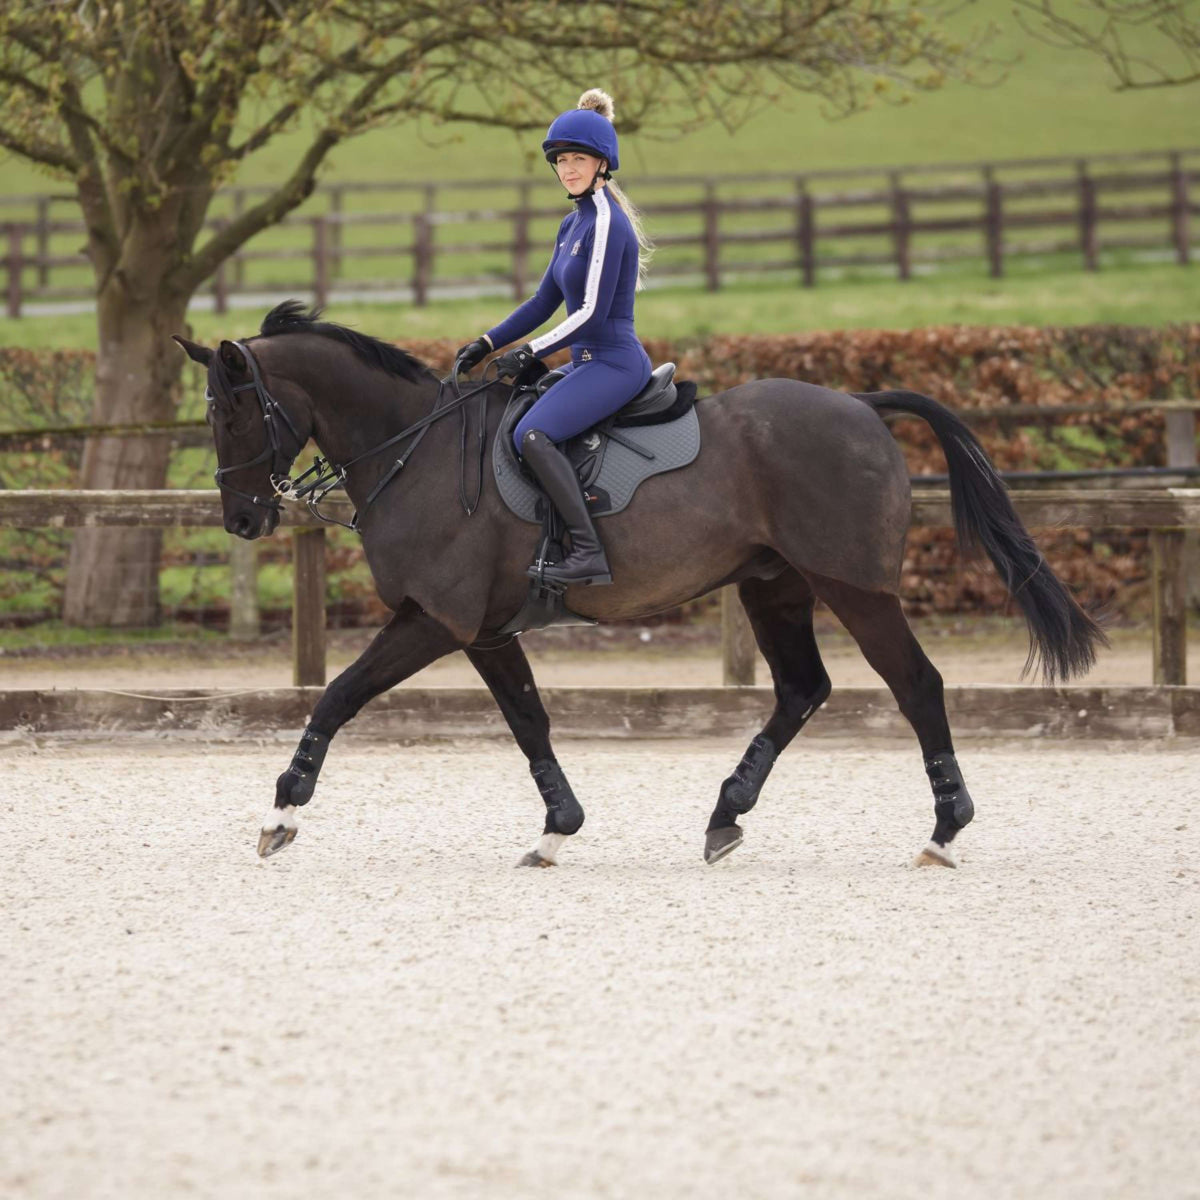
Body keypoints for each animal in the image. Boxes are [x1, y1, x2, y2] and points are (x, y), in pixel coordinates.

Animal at [174, 304, 1099, 868]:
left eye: (232, 413)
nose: (242, 519)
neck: (416, 449)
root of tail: (862, 404)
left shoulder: (435, 620)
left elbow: (336, 696)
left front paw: (282, 814)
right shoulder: (486, 630)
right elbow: (529, 722)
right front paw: (557, 831)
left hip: (854, 589)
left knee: (916, 684)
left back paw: (943, 830)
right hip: (775, 588)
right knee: (803, 689)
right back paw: (726, 814)